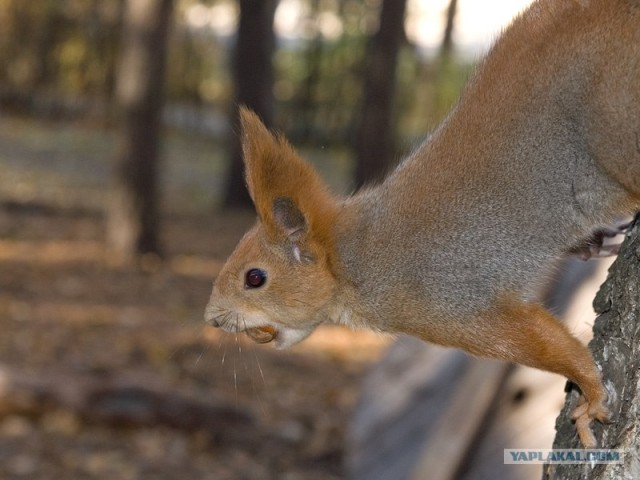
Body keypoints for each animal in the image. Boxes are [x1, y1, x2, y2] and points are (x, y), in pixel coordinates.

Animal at [205, 0, 640, 448]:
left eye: (255, 278)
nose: (212, 319)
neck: (354, 260)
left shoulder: (451, 305)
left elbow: (543, 343)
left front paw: (590, 394)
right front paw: (596, 242)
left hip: (617, 121)